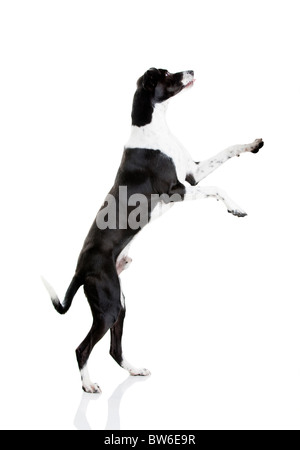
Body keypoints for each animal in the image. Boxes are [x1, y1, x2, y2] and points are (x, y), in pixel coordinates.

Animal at [43, 67, 264, 394]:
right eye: (166, 74)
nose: (191, 70)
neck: (154, 129)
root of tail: (80, 270)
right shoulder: (177, 191)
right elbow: (217, 188)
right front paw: (235, 207)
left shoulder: (193, 173)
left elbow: (228, 149)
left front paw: (253, 144)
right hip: (108, 306)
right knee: (82, 348)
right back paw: (88, 385)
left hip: (120, 305)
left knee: (114, 349)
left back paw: (134, 370)